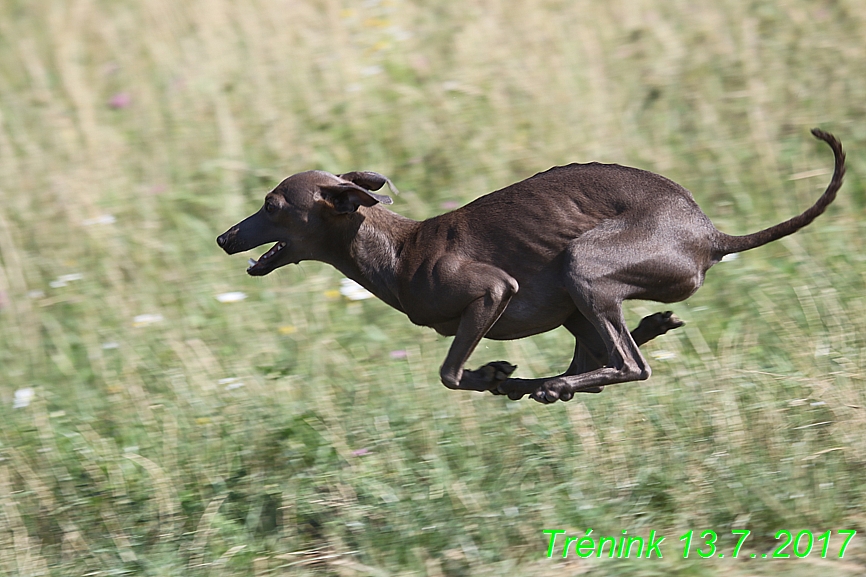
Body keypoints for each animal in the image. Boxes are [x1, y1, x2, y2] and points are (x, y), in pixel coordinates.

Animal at [218, 129, 844, 400]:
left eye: (272, 205)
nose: (225, 238)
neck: (399, 250)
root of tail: (710, 233)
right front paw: (503, 377)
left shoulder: (494, 290)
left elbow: (449, 373)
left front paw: (489, 374)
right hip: (577, 299)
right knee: (607, 352)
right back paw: (561, 376)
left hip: (582, 265)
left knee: (628, 364)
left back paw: (547, 383)